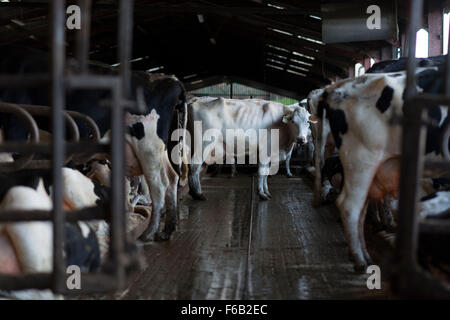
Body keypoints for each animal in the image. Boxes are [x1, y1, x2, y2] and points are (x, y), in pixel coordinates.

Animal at [0, 45, 186, 242]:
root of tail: (170, 79)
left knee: (159, 185)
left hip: (148, 146)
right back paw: (167, 230)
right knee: (172, 178)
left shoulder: (15, 127)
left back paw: (149, 232)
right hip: (159, 150)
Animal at [185, 97, 316, 200]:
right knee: (194, 165)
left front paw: (266, 191)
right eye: (293, 121)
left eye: (308, 122)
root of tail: (196, 100)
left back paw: (192, 192)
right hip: (203, 144)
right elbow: (262, 172)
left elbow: (266, 173)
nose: (301, 139)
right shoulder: (265, 150)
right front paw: (262, 193)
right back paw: (199, 194)